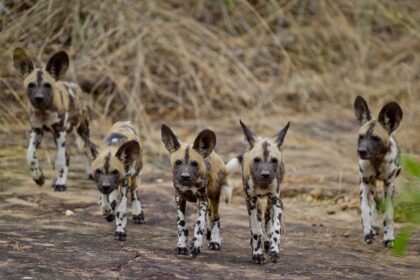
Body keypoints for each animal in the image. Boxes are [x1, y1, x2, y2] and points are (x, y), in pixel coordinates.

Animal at [13, 48, 91, 192]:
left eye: (47, 86)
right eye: (31, 85)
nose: (39, 98)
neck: (43, 112)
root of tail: (75, 85)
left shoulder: (59, 131)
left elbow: (59, 161)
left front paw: (60, 184)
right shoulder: (37, 131)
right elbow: (30, 155)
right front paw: (38, 177)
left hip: (82, 132)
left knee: (86, 152)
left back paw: (88, 174)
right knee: (67, 156)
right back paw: (56, 180)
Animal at [161, 124, 233, 258]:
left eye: (194, 164)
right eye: (178, 162)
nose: (185, 177)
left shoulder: (202, 200)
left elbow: (199, 223)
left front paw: (196, 245)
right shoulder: (179, 199)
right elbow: (181, 224)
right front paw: (181, 245)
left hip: (213, 197)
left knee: (215, 217)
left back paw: (215, 241)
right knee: (210, 216)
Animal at [226, 120, 288, 264]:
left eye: (274, 160)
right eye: (256, 160)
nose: (265, 174)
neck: (262, 185)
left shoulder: (276, 201)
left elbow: (276, 229)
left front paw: (274, 251)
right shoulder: (251, 201)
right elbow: (255, 230)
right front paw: (257, 253)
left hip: (271, 201)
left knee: (267, 218)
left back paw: (267, 242)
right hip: (256, 204)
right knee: (258, 224)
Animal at [354, 96, 404, 247]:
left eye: (376, 138)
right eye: (361, 136)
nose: (361, 151)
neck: (377, 161)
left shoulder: (389, 184)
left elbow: (388, 214)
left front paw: (389, 237)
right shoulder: (364, 183)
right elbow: (365, 210)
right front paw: (368, 231)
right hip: (371, 185)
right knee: (374, 203)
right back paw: (373, 226)